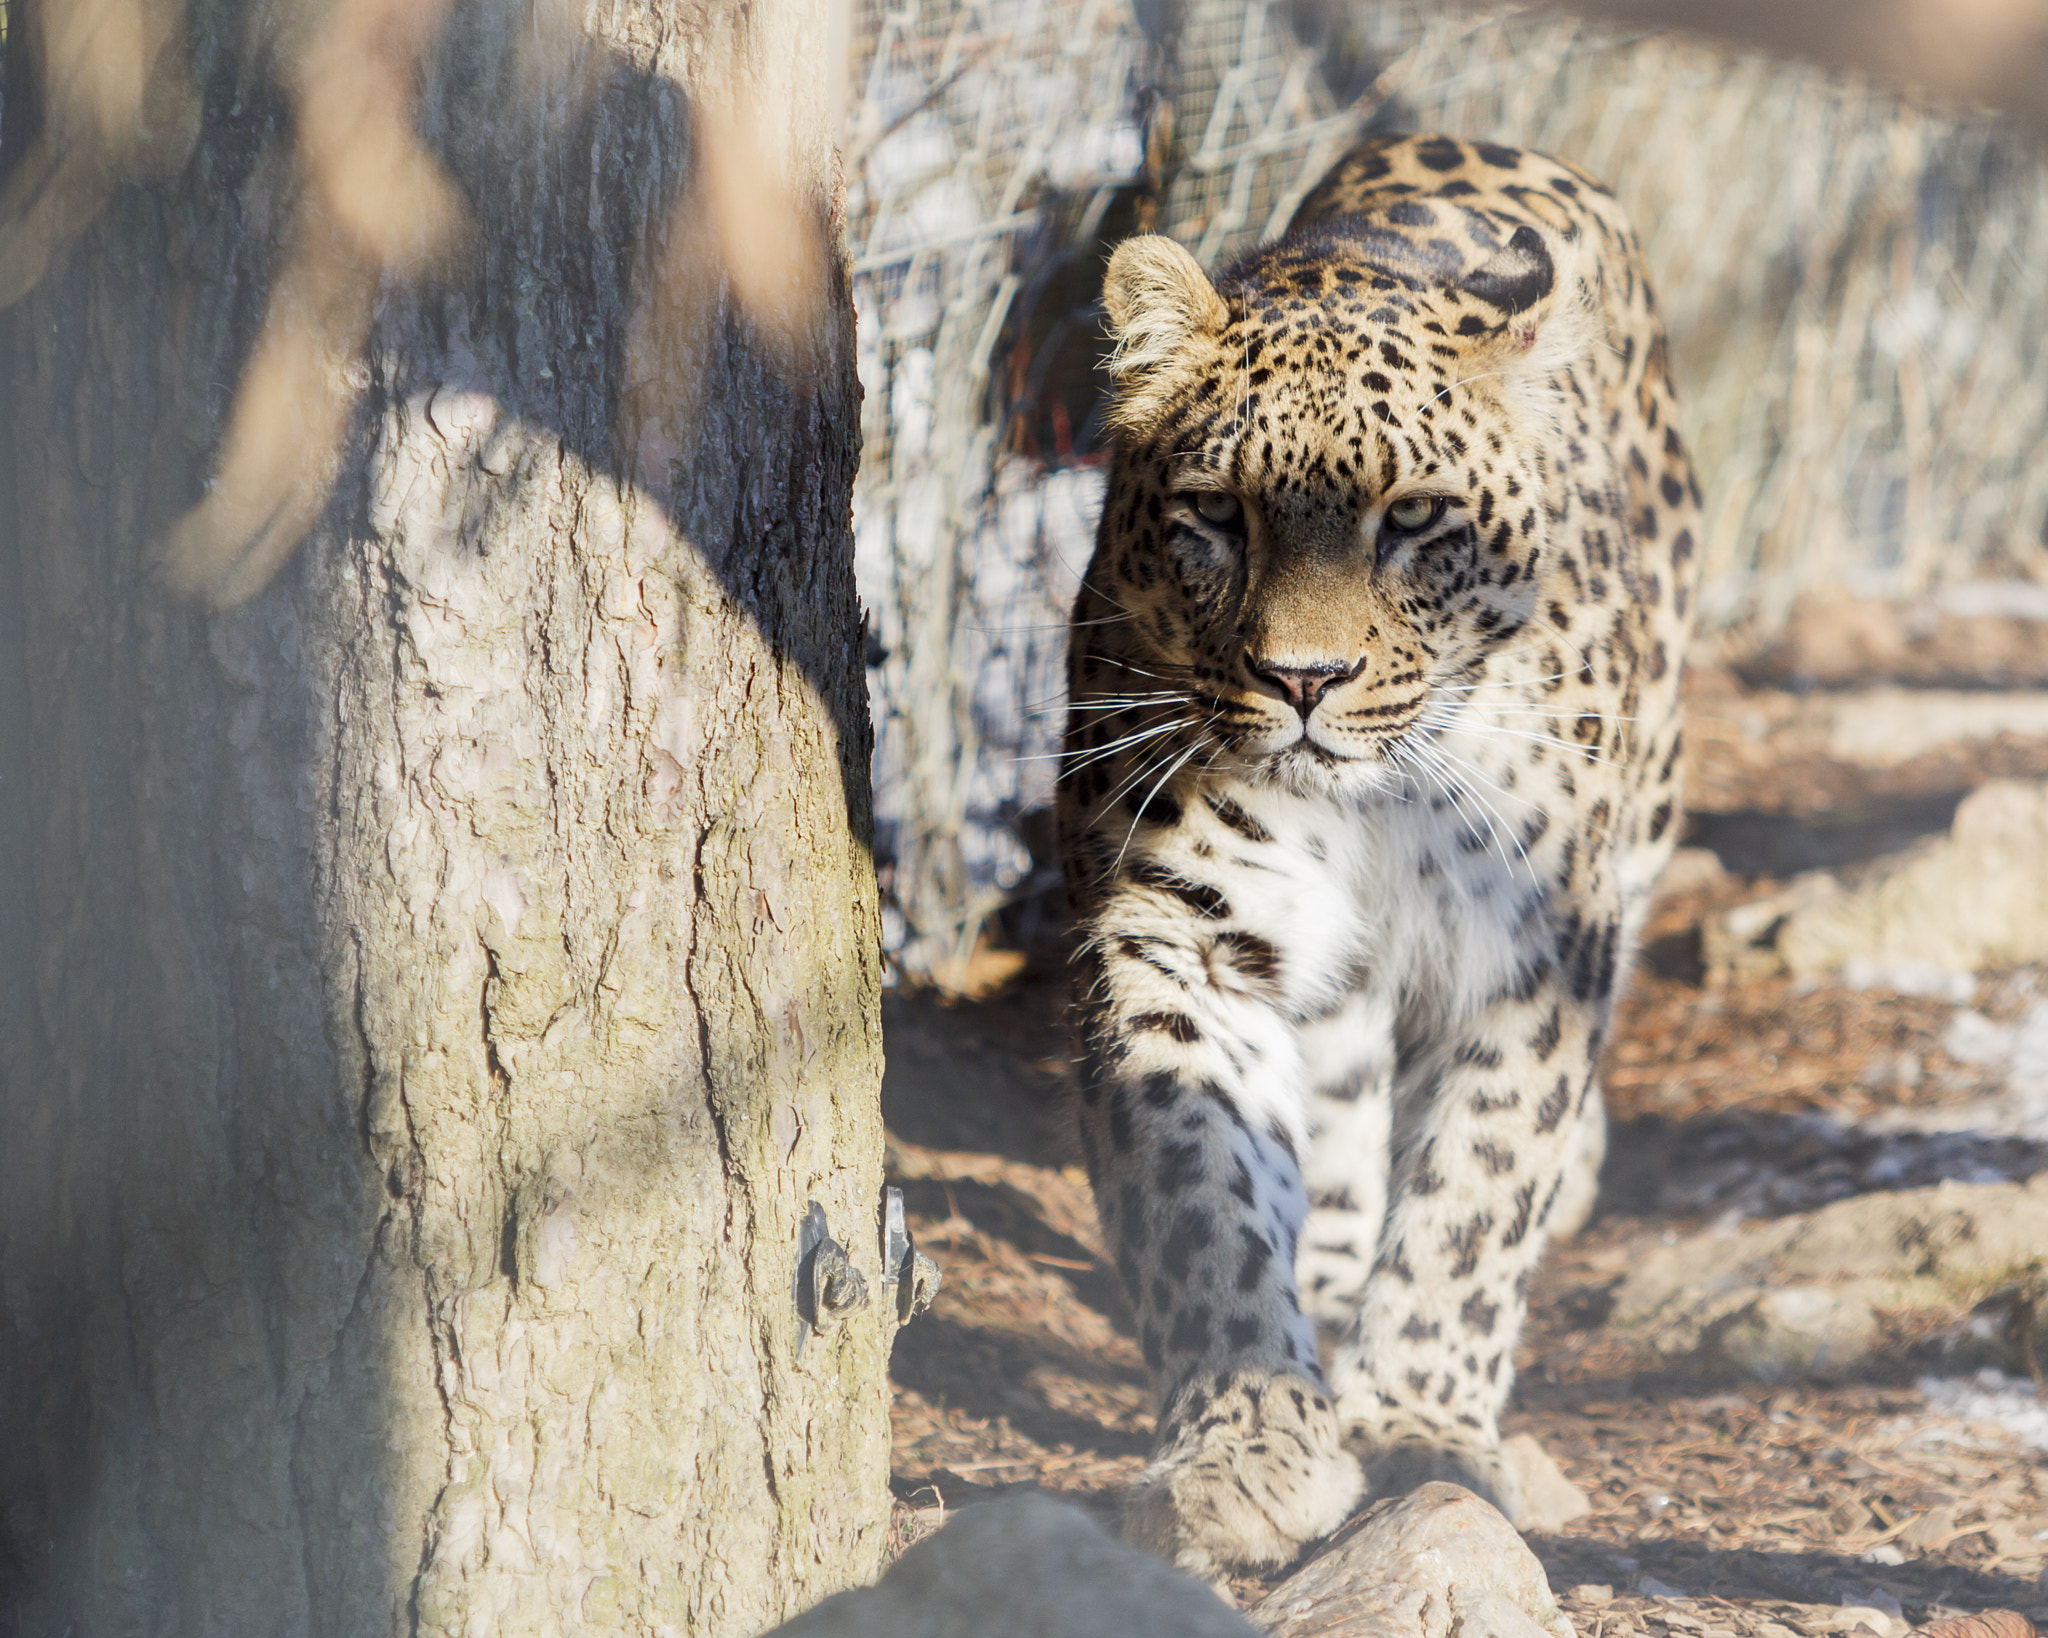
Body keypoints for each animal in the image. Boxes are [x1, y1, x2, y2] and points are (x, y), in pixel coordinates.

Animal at [1056, 132, 1700, 1579]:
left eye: (1411, 519)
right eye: (1215, 513)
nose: (1303, 680)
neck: (1369, 807)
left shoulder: (1533, 951)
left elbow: (1476, 1193)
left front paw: (1417, 1420)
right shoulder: (1182, 932)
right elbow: (1201, 1184)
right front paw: (1247, 1442)